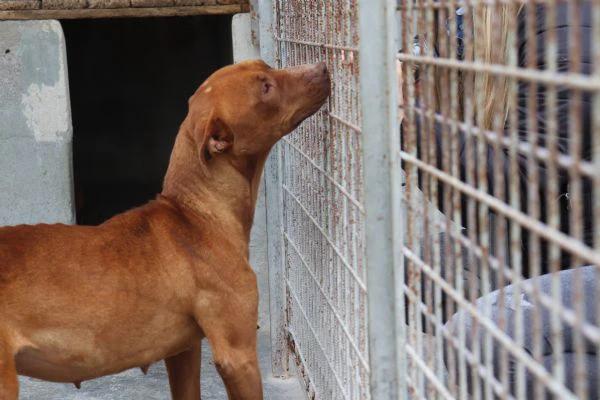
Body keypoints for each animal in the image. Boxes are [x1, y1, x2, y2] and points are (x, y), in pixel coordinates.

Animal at [0, 57, 328, 398]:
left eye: (265, 66)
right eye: (265, 87)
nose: (322, 67)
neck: (196, 212)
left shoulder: (183, 352)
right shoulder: (238, 356)